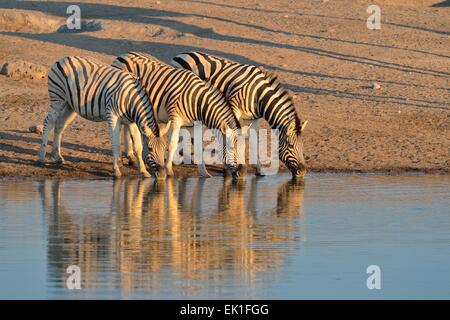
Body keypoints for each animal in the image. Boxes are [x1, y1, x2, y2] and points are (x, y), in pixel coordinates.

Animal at [37, 56, 170, 179]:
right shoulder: (112, 115)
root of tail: (62, 59)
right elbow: (116, 144)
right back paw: (41, 157)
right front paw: (116, 170)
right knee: (48, 123)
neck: (132, 99)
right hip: (58, 99)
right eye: (150, 149)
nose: (163, 175)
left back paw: (57, 156)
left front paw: (143, 171)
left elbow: (138, 147)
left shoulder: (132, 122)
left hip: (70, 105)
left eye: (165, 149)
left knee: (59, 125)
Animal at [111, 51, 244, 179]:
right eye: (232, 149)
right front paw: (169, 169)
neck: (197, 102)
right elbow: (172, 143)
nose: (240, 173)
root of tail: (122, 55)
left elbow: (198, 145)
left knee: (127, 126)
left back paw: (131, 158)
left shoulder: (194, 124)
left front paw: (204, 172)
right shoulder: (175, 119)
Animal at [171, 51, 308, 179]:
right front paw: (227, 169)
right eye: (291, 146)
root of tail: (181, 54)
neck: (259, 95)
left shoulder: (253, 118)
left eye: (302, 146)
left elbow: (253, 140)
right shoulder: (233, 108)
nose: (303, 172)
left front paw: (258, 169)